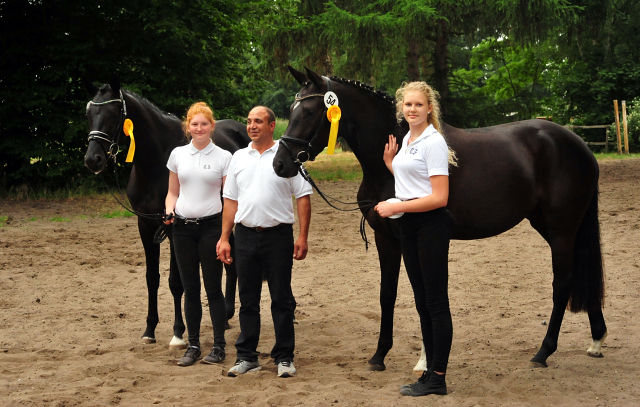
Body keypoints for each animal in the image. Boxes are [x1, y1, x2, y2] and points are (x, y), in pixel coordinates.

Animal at [82, 76, 248, 348]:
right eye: (89, 114)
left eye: (114, 113)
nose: (93, 160)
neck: (155, 163)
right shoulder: (146, 225)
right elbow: (152, 278)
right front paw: (149, 329)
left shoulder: (173, 227)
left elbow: (175, 282)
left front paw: (178, 332)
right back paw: (225, 316)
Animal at [272, 67, 608, 372]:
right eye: (291, 111)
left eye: (310, 111)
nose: (280, 164)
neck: (388, 167)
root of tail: (579, 144)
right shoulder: (386, 238)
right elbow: (387, 294)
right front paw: (380, 356)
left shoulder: (411, 237)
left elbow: (422, 294)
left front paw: (424, 359)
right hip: (550, 225)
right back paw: (597, 339)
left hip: (562, 228)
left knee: (562, 282)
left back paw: (544, 352)